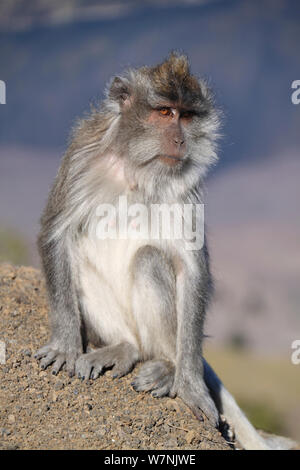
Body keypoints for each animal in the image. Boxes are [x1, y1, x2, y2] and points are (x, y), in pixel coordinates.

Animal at [34, 53, 296, 450]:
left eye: (186, 116)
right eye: (163, 112)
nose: (179, 139)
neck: (137, 168)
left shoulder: (186, 187)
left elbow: (191, 268)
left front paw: (189, 383)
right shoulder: (82, 156)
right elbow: (57, 232)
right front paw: (66, 344)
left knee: (149, 260)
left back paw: (162, 365)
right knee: (80, 257)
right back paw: (124, 347)